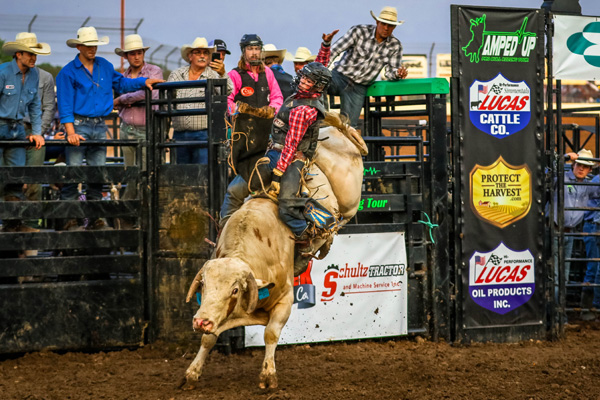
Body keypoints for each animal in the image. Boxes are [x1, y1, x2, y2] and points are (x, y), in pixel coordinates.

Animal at [179, 113, 366, 390]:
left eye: (235, 290)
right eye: (203, 285)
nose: (201, 321)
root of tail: (333, 132)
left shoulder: (285, 301)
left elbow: (270, 333)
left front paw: (268, 376)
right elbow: (208, 339)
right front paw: (191, 374)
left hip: (349, 196)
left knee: (344, 215)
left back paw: (325, 239)